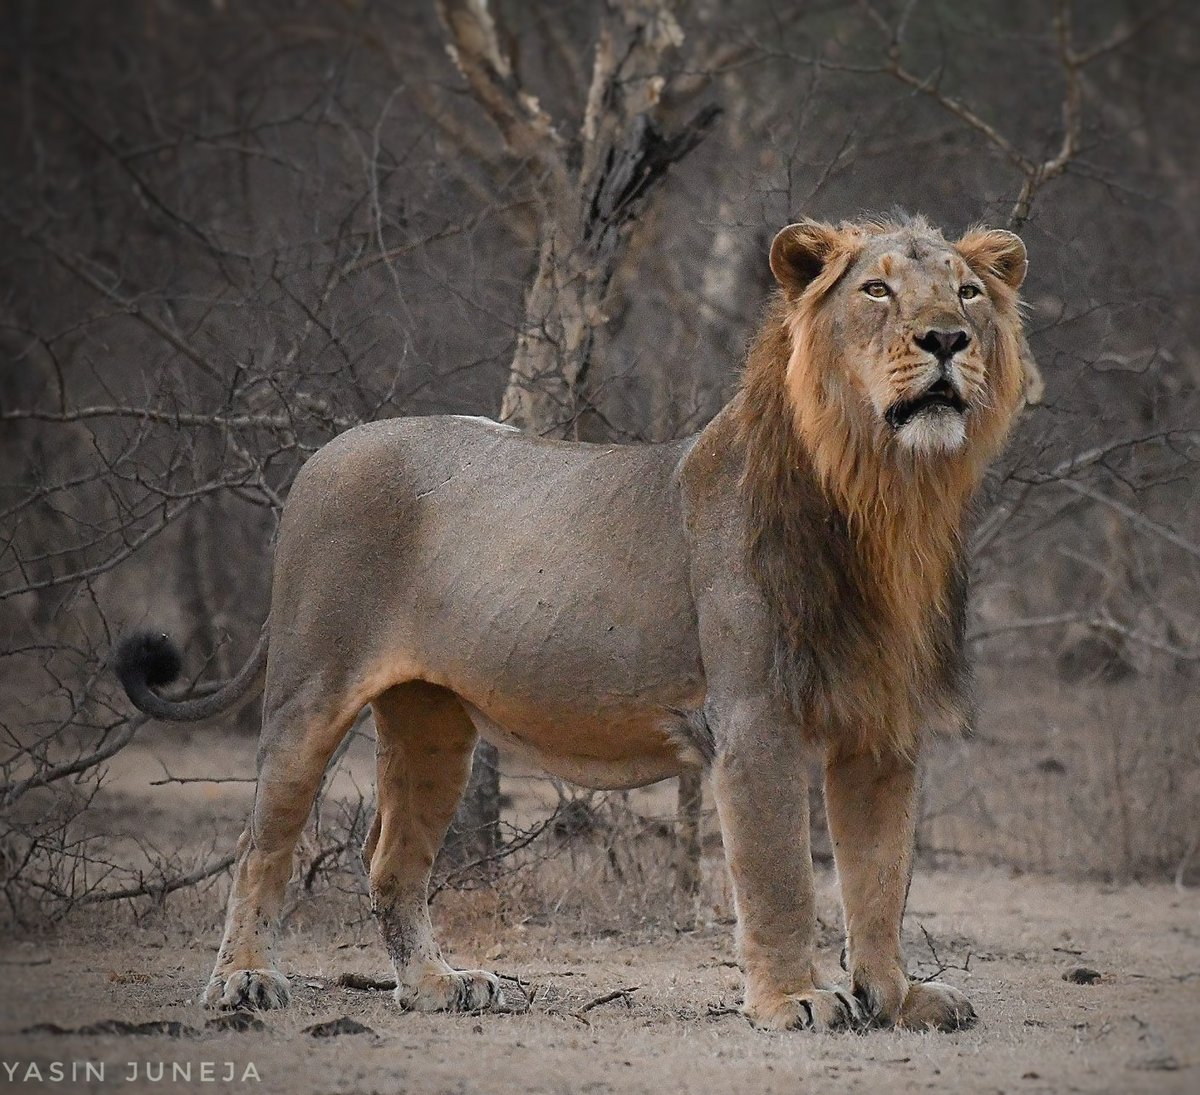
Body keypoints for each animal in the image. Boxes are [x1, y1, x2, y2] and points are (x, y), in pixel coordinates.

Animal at [117, 213, 1027, 1037]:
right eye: (876, 289)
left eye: (968, 292)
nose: (947, 339)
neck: (887, 498)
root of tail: (323, 451)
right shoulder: (754, 718)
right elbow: (781, 877)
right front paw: (794, 998)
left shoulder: (883, 729)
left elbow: (880, 879)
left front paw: (897, 998)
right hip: (311, 691)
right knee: (259, 848)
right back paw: (244, 981)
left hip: (432, 723)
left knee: (391, 861)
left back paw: (440, 986)